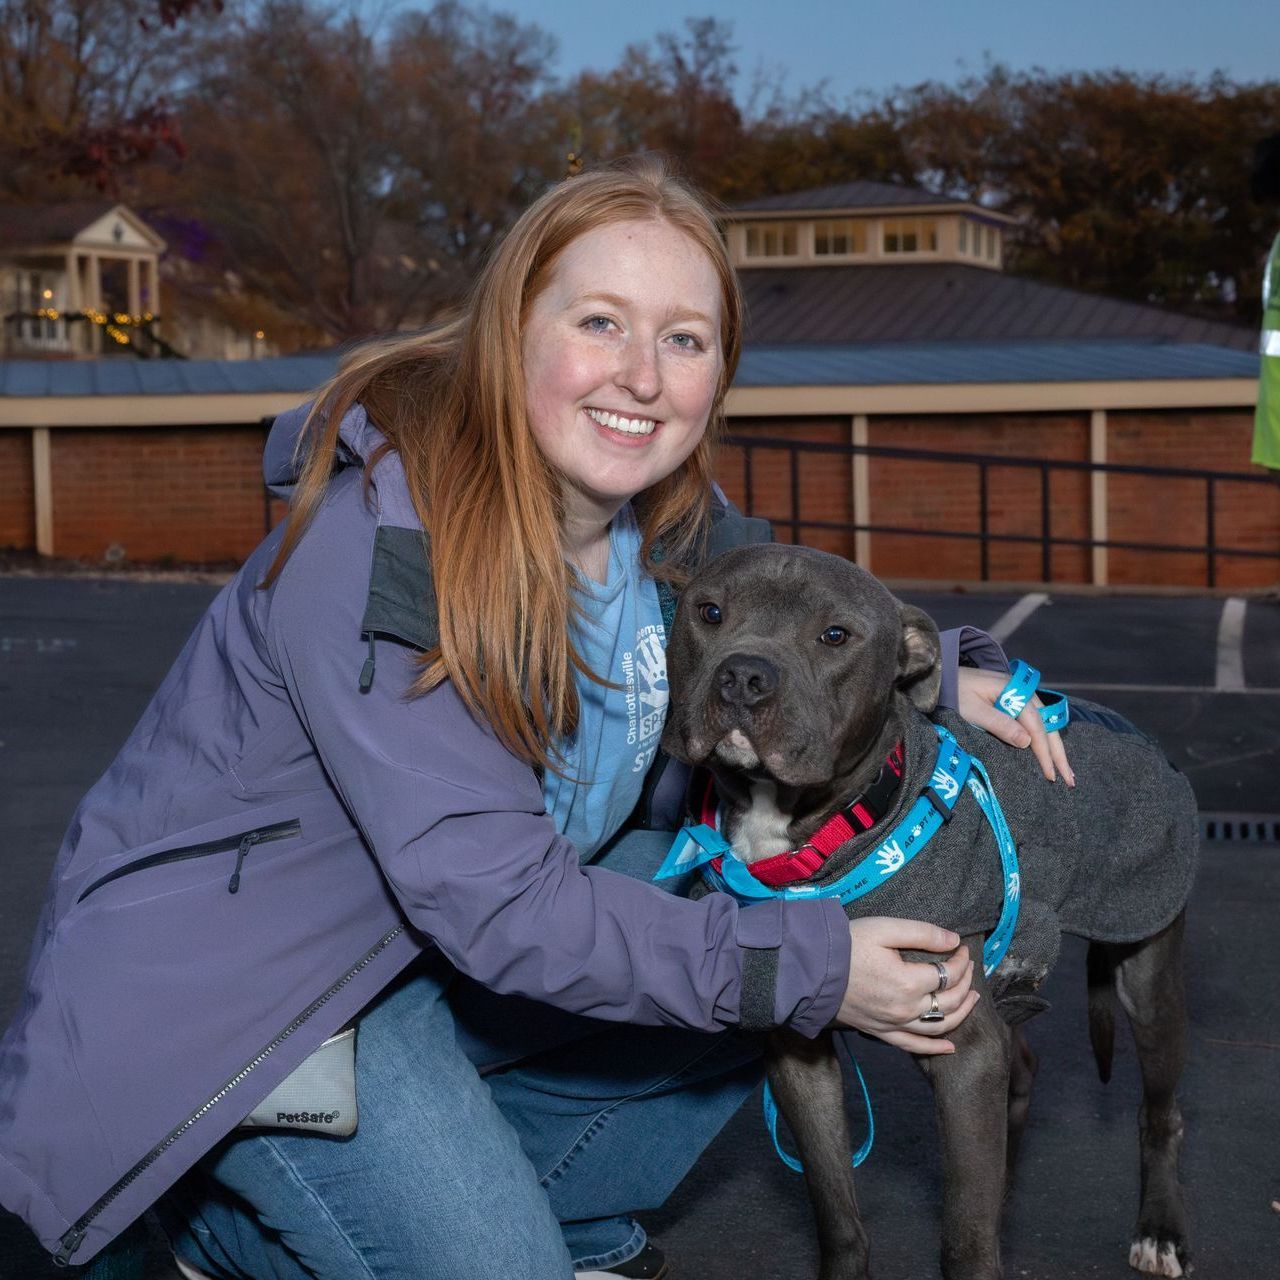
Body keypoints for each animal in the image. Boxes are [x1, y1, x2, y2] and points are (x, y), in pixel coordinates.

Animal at [660, 545, 1198, 1280]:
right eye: (709, 611)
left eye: (835, 635)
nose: (744, 676)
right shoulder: (801, 1055)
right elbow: (837, 1211)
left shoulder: (964, 1059)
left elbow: (963, 1239)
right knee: (1021, 1068)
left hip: (1146, 974)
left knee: (1159, 1112)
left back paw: (1160, 1230)